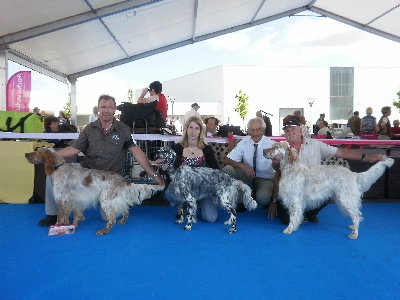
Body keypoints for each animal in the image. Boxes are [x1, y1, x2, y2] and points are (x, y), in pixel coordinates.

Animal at [25, 147, 163, 234]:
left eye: (37, 152)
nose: (26, 154)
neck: (59, 168)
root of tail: (123, 180)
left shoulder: (62, 199)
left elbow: (61, 218)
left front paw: (58, 227)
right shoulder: (71, 200)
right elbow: (72, 216)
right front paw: (72, 224)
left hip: (105, 200)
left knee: (112, 219)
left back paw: (103, 231)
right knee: (125, 210)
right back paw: (122, 221)